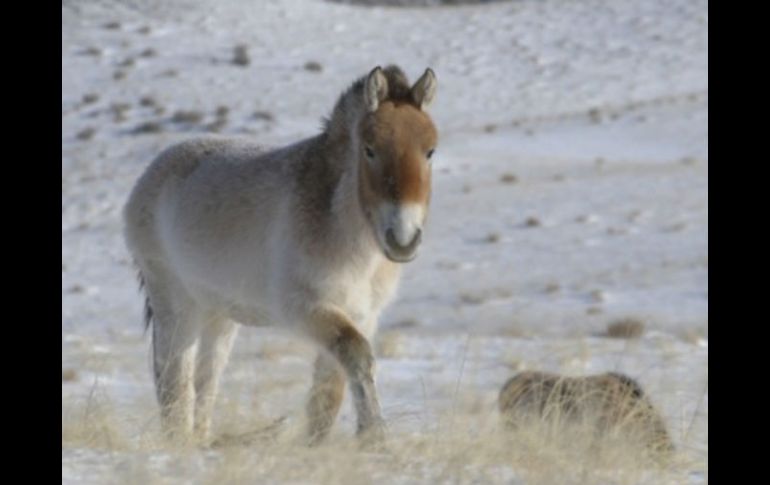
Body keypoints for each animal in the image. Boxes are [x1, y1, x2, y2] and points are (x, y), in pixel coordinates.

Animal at [124, 66, 438, 444]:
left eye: (430, 151)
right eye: (370, 150)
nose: (403, 239)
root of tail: (152, 173)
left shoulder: (361, 315)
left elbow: (329, 392)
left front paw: (319, 445)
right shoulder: (309, 309)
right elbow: (357, 356)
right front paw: (374, 436)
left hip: (219, 316)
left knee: (206, 381)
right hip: (176, 304)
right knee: (175, 379)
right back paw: (180, 443)